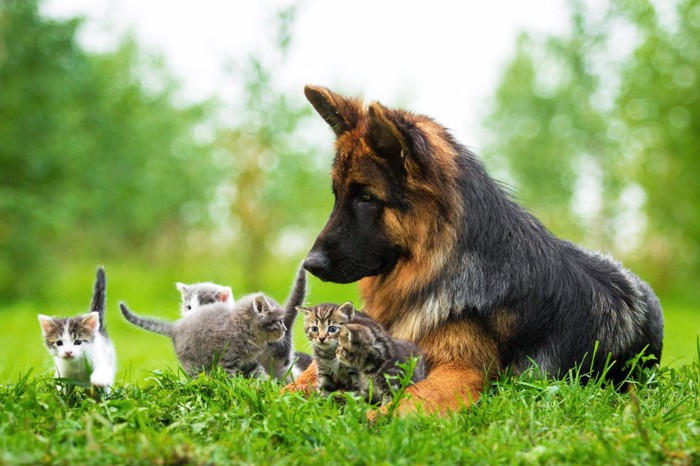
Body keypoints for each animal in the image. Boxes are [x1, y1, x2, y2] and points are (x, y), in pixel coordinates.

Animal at [37, 266, 116, 394]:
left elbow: (104, 370)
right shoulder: (62, 373)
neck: (76, 363)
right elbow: (63, 387)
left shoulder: (100, 359)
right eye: (59, 343)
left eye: (78, 342)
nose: (68, 352)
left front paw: (99, 379)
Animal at [286, 85, 668, 414]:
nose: (310, 264)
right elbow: (297, 383)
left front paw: (372, 421)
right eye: (337, 196)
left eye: (366, 198)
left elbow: (409, 400)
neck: (435, 271)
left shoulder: (462, 370)